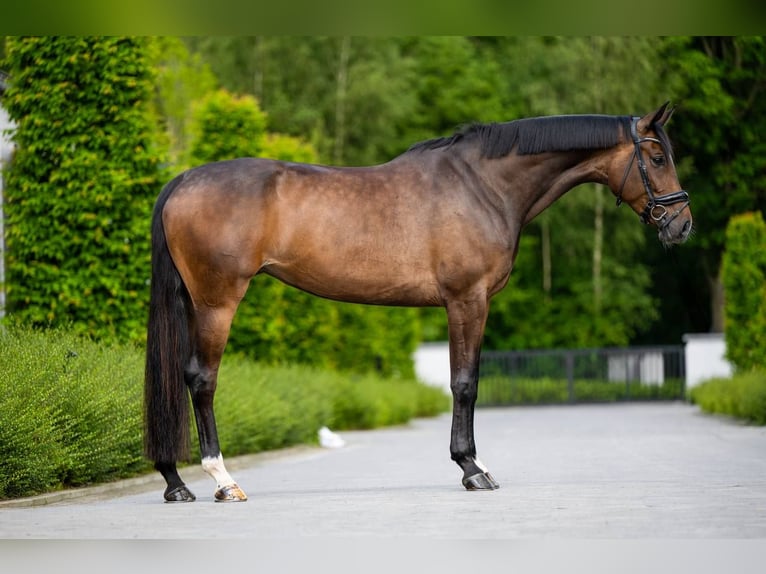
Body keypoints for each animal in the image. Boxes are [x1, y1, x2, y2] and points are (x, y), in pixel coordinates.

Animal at [144, 103, 696, 504]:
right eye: (657, 158)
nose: (682, 225)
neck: (483, 186)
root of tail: (182, 181)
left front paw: (476, 464)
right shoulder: (466, 301)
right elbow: (464, 383)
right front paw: (472, 469)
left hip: (193, 302)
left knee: (178, 377)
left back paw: (175, 481)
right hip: (217, 301)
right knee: (202, 380)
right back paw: (222, 480)